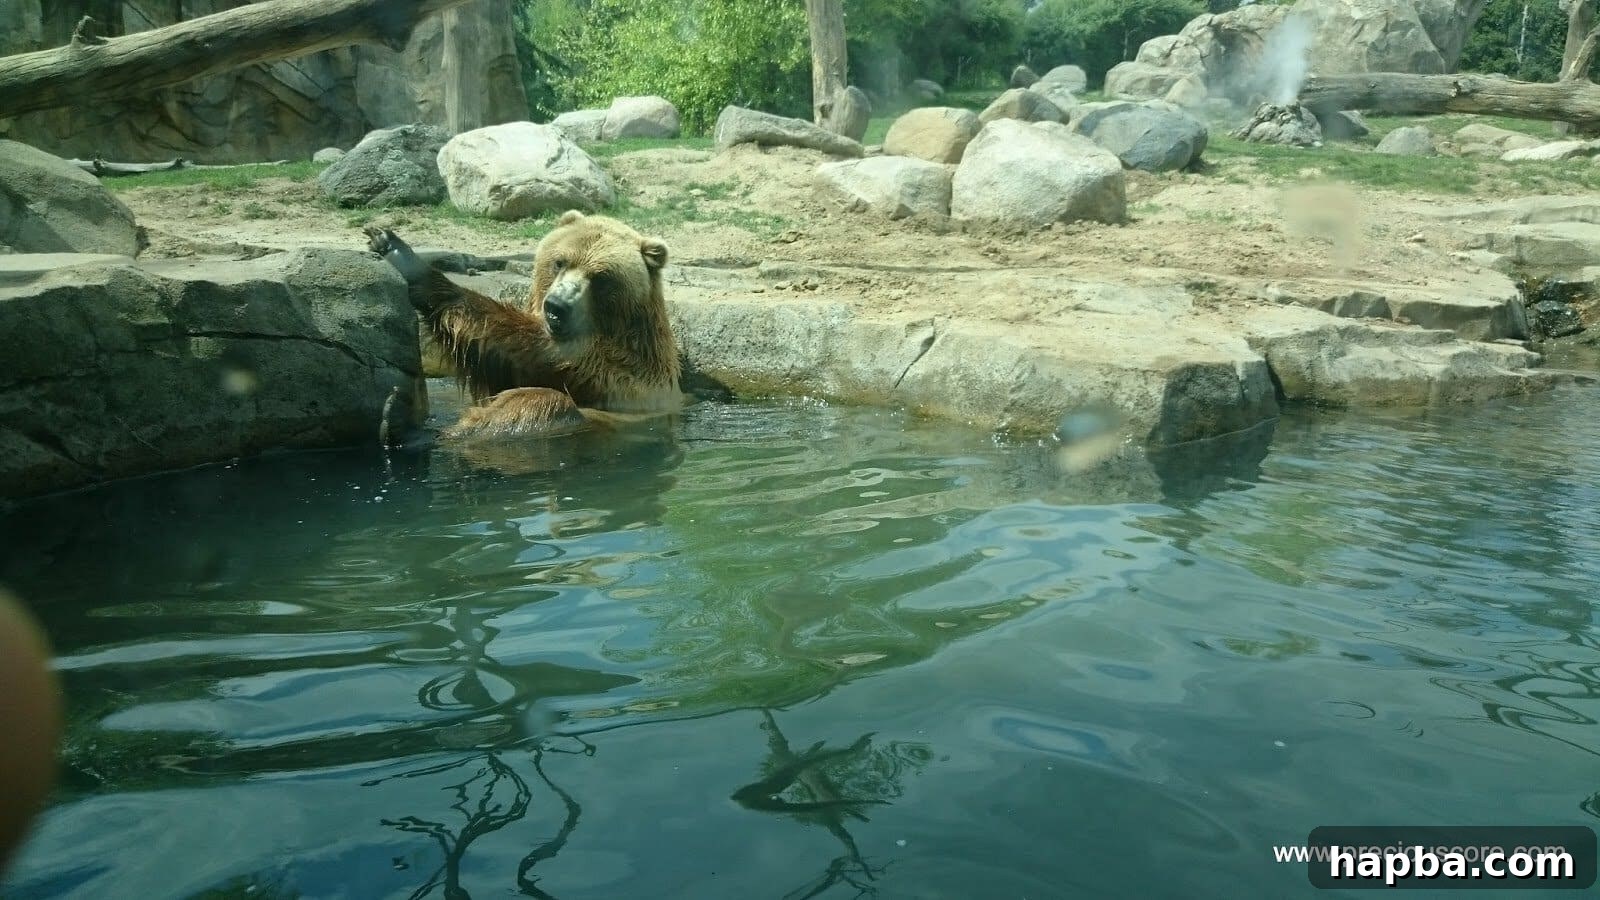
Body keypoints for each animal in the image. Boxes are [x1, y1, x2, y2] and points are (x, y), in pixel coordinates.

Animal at [365, 211, 682, 439]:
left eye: (601, 277)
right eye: (560, 262)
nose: (556, 307)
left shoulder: (616, 369)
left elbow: (517, 342)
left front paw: (406, 259)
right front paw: (383, 239)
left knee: (545, 405)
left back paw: (399, 421)